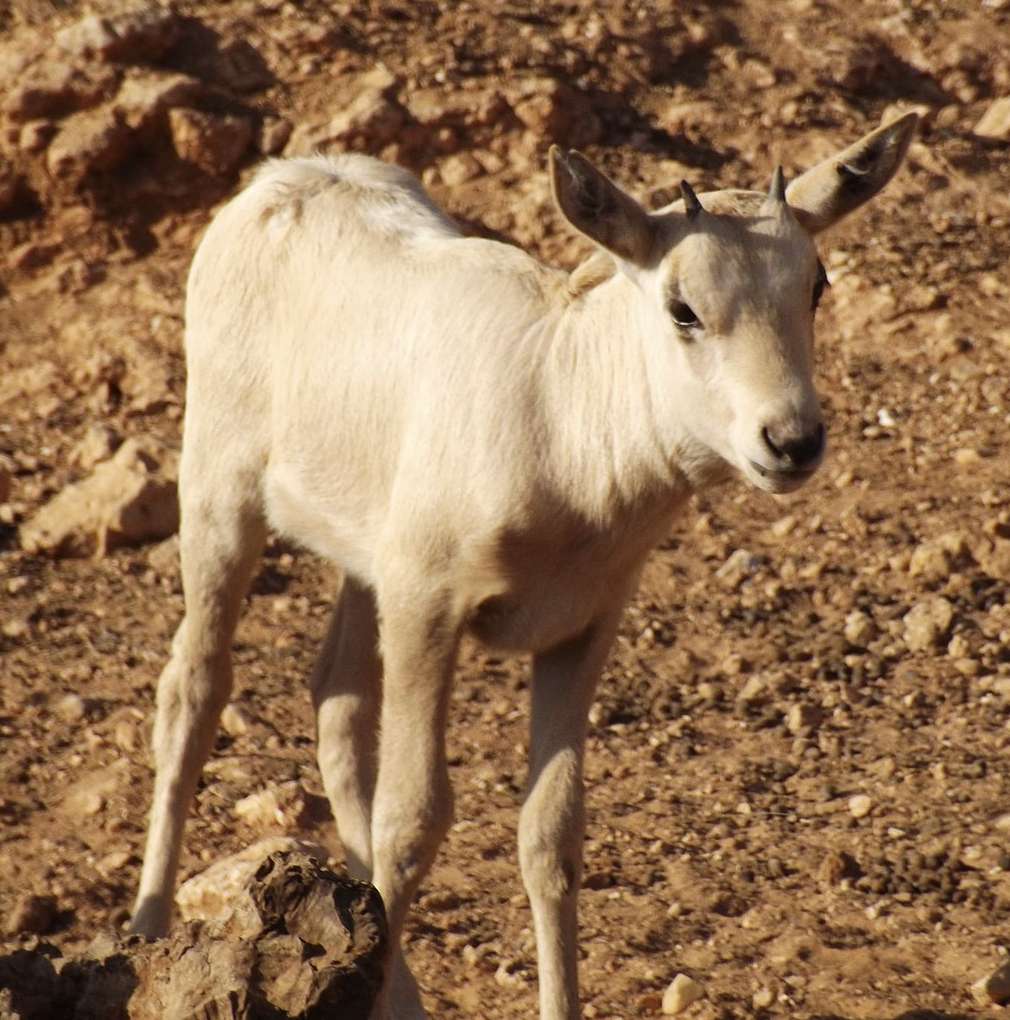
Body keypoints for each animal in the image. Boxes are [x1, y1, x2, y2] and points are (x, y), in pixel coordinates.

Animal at [132, 115, 918, 1015]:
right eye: (683, 306)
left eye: (815, 285)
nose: (791, 441)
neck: (557, 405)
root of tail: (277, 183)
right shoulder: (429, 606)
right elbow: (414, 819)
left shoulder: (583, 624)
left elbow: (552, 832)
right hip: (219, 497)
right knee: (194, 690)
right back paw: (147, 929)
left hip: (367, 558)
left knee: (336, 701)